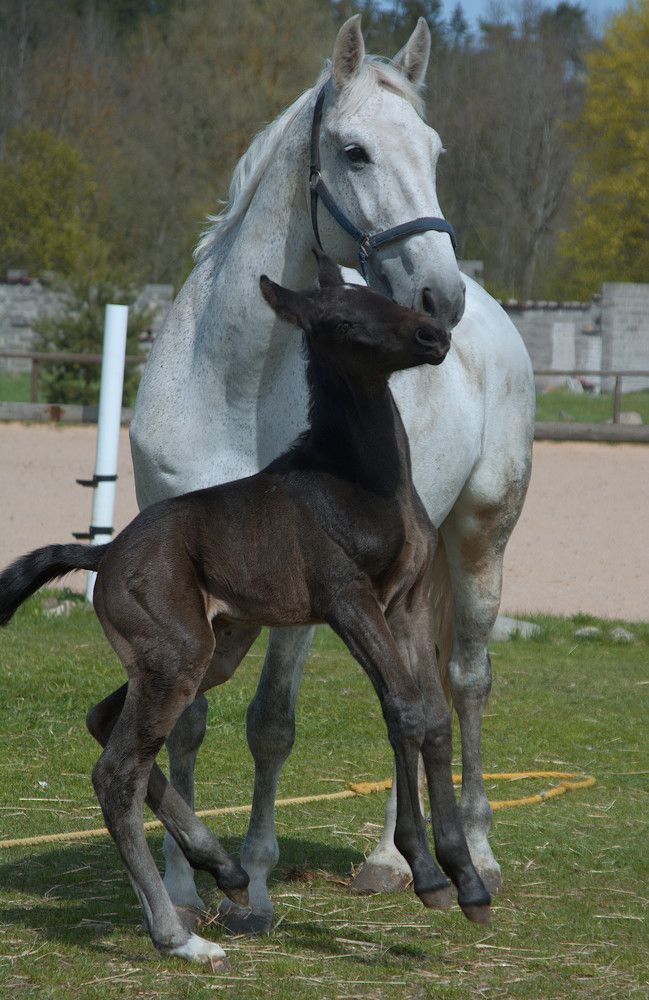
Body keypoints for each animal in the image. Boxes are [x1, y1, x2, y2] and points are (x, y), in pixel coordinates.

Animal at [0, 252, 492, 964]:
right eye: (344, 320)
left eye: (378, 296)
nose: (432, 336)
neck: (363, 480)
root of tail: (105, 554)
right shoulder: (349, 601)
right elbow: (402, 709)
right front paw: (427, 874)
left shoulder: (407, 606)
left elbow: (430, 716)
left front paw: (465, 879)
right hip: (180, 655)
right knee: (116, 773)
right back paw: (180, 935)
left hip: (210, 649)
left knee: (103, 719)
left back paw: (226, 870)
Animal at [129, 15, 535, 933]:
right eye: (354, 151)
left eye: (434, 148)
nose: (438, 299)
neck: (234, 385)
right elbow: (187, 720)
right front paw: (182, 885)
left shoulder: (297, 592)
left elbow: (270, 725)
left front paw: (252, 885)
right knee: (416, 697)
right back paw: (392, 859)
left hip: (480, 542)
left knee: (464, 684)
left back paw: (466, 852)